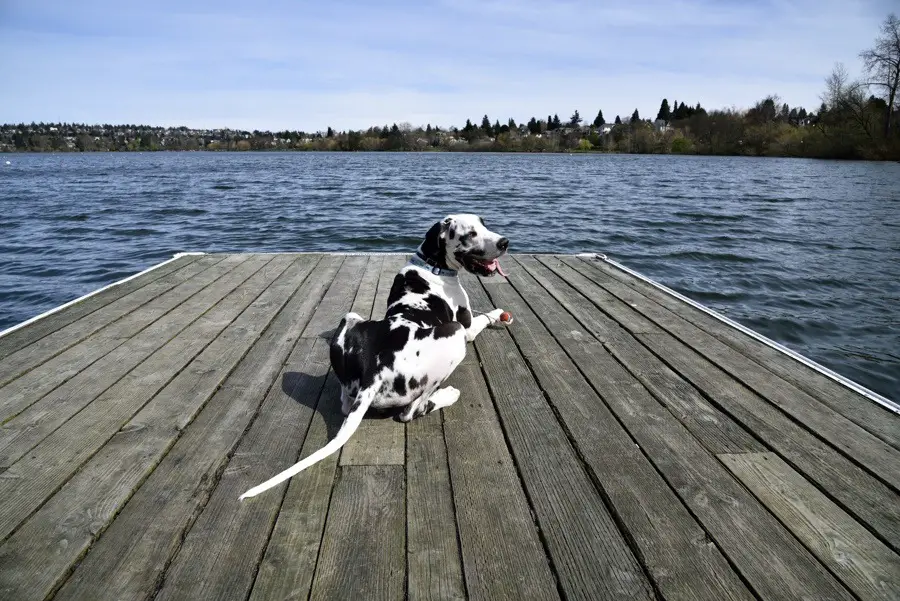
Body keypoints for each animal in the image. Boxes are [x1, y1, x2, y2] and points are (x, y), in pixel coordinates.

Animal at [239, 213, 510, 500]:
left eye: (484, 224)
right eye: (470, 233)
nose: (504, 243)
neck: (432, 266)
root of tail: (374, 372)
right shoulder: (467, 329)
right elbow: (485, 317)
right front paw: (498, 314)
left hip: (350, 318)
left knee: (345, 402)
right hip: (455, 335)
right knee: (412, 410)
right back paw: (446, 395)